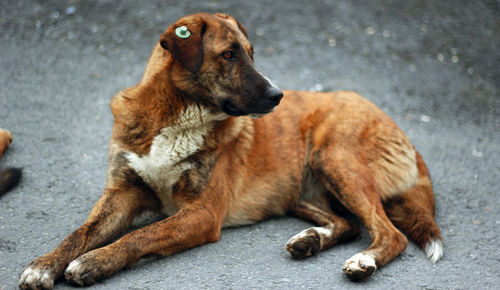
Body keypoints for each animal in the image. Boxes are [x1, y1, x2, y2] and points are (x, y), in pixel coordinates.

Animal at [19, 12, 444, 288]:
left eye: (251, 53)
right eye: (228, 54)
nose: (277, 95)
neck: (174, 115)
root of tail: (395, 123)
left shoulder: (201, 214)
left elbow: (141, 236)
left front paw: (93, 262)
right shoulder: (121, 194)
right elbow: (79, 232)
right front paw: (44, 265)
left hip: (335, 158)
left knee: (390, 234)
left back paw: (364, 260)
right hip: (303, 189)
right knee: (349, 223)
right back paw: (310, 240)